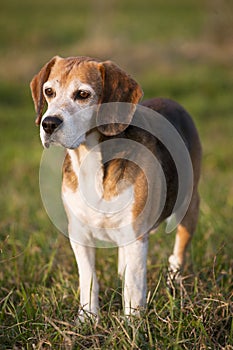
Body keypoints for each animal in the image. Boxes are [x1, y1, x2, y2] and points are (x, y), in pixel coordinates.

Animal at [30, 55, 202, 320]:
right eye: (49, 91)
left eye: (82, 94)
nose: (49, 124)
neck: (90, 159)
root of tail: (174, 103)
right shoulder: (79, 234)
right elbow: (89, 279)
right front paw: (88, 318)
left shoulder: (136, 235)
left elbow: (134, 286)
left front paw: (133, 323)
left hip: (189, 207)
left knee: (177, 254)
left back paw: (174, 283)